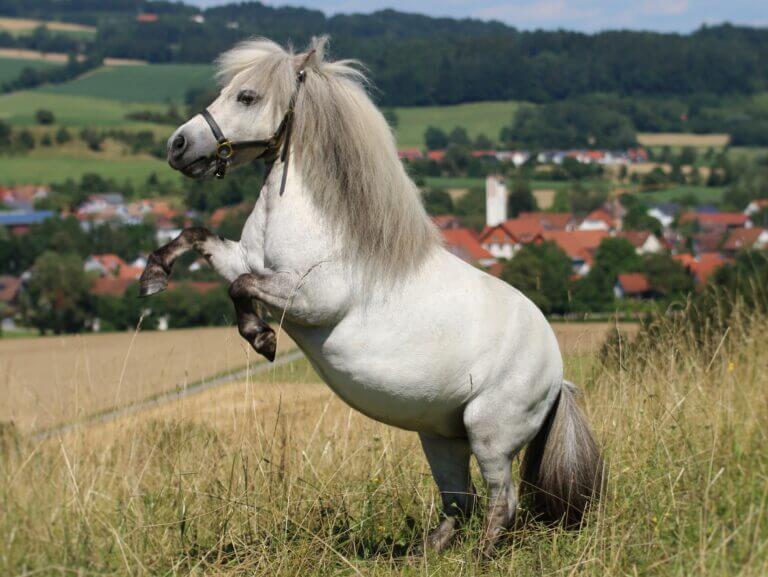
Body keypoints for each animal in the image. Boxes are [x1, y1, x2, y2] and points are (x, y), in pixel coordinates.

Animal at [141, 36, 604, 552]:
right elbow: (198, 237)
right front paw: (153, 276)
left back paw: (480, 557)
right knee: (457, 505)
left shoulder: (311, 298)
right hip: (442, 437)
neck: (322, 223)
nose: (177, 145)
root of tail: (558, 374)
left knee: (501, 504)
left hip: (489, 434)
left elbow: (239, 288)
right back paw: (423, 555)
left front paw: (262, 339)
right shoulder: (247, 260)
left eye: (247, 96)